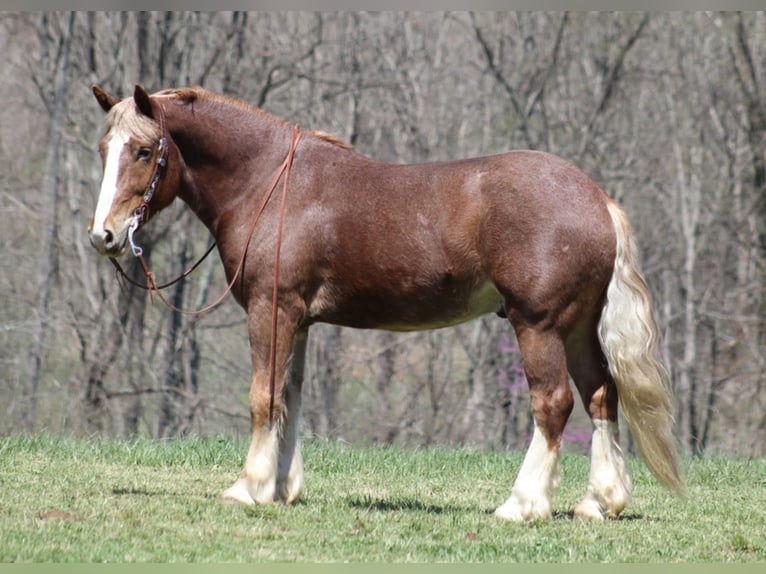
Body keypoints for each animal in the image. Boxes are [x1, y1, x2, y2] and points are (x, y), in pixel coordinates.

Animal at [88, 84, 684, 520]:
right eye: (103, 150)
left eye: (143, 151)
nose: (104, 236)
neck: (269, 185)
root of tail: (598, 199)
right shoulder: (299, 320)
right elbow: (289, 399)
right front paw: (281, 487)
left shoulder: (271, 308)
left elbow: (263, 397)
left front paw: (248, 487)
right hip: (578, 327)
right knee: (602, 395)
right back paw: (598, 502)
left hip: (538, 325)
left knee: (554, 403)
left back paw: (522, 504)